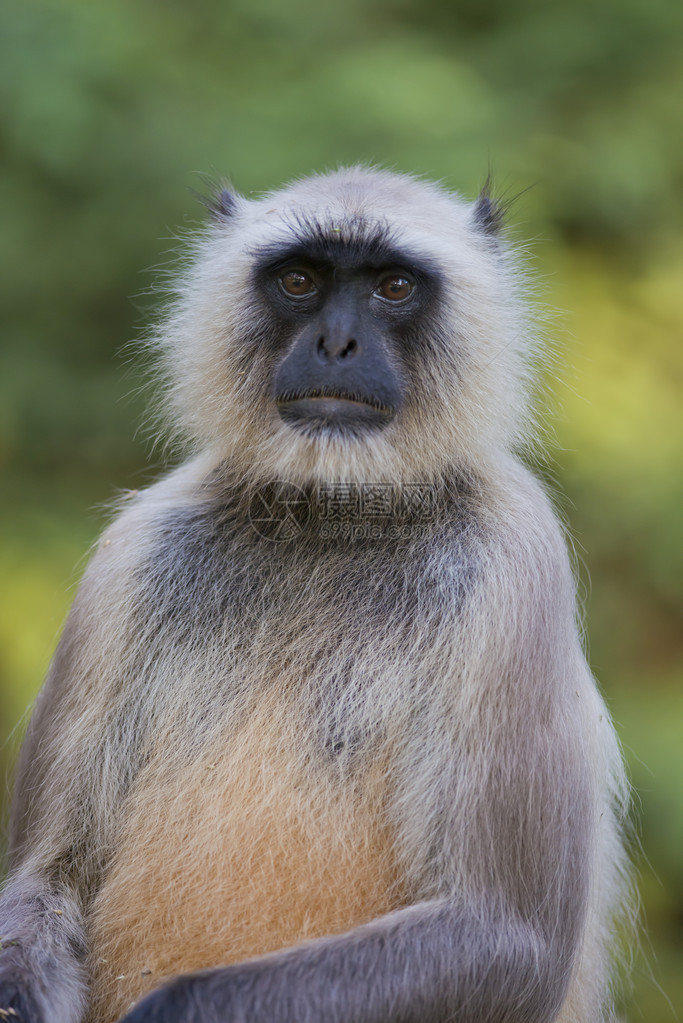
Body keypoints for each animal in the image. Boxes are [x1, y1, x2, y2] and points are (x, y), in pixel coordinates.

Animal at [0, 169, 633, 1023]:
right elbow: (47, 872)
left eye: (393, 286)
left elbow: (506, 938)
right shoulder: (131, 555)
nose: (337, 344)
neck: (328, 517)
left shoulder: (515, 561)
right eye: (299, 281)